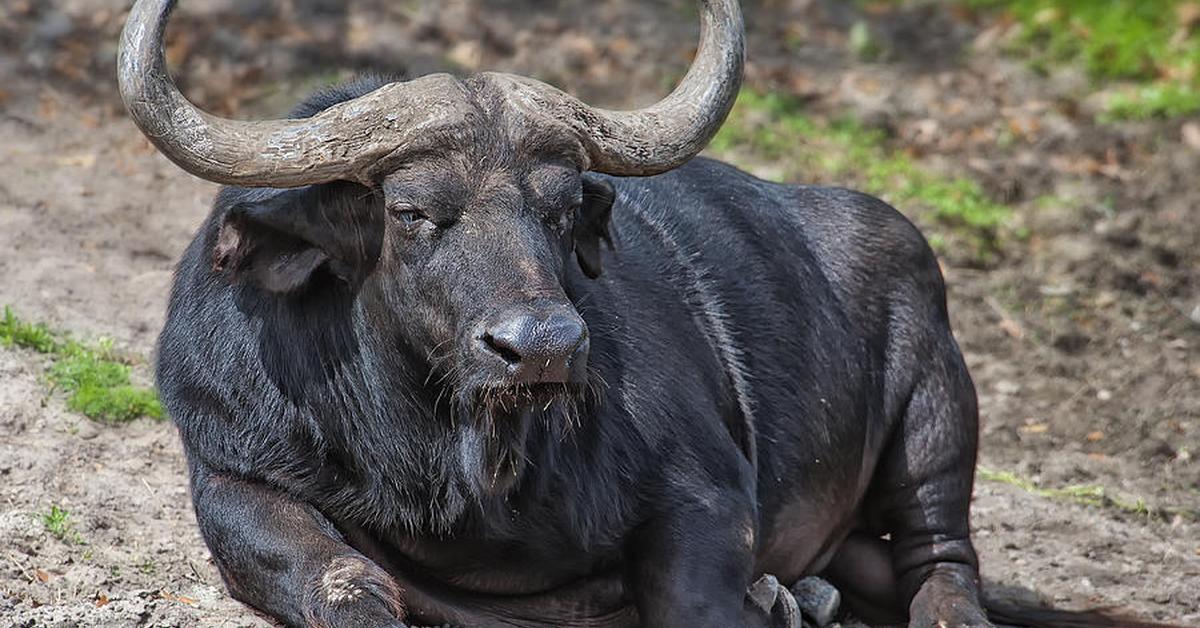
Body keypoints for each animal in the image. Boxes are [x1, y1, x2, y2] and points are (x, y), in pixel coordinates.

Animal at [117, 1, 1156, 628]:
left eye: (561, 207)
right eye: (412, 212)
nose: (540, 349)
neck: (456, 462)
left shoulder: (705, 494)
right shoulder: (231, 471)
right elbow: (343, 581)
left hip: (940, 411)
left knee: (945, 561)